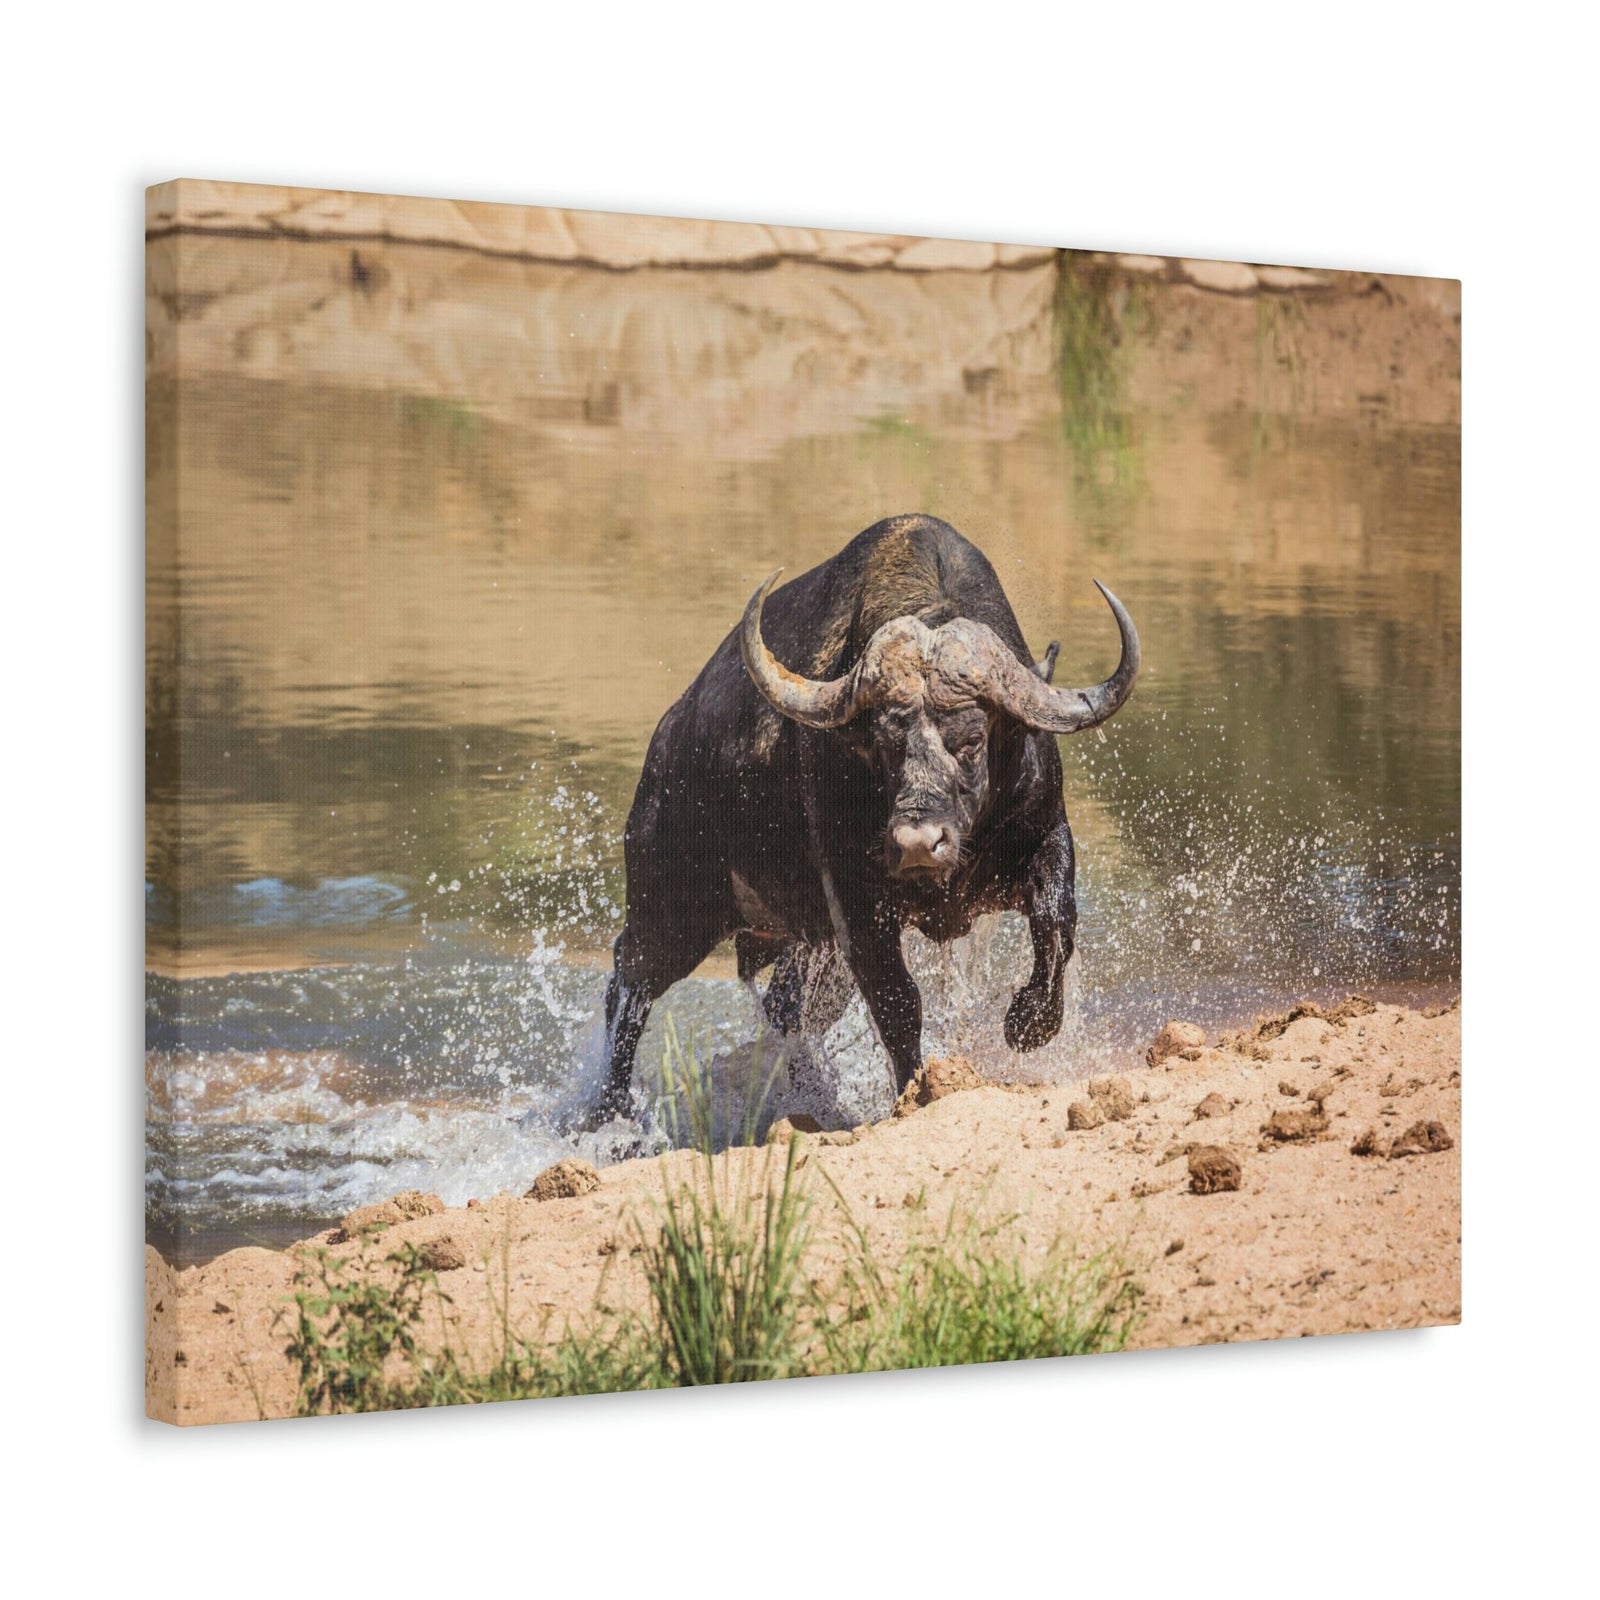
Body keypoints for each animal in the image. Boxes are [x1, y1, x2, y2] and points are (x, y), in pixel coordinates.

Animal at [596, 513, 1139, 1121]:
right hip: (671, 909)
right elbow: (897, 1002)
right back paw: (608, 1113)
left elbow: (1055, 923)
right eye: (882, 744)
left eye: (972, 739)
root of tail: (667, 741)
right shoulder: (856, 902)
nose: (918, 844)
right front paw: (918, 1089)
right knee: (629, 986)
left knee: (785, 1008)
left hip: (805, 945)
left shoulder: (1045, 835)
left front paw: (1029, 1023)